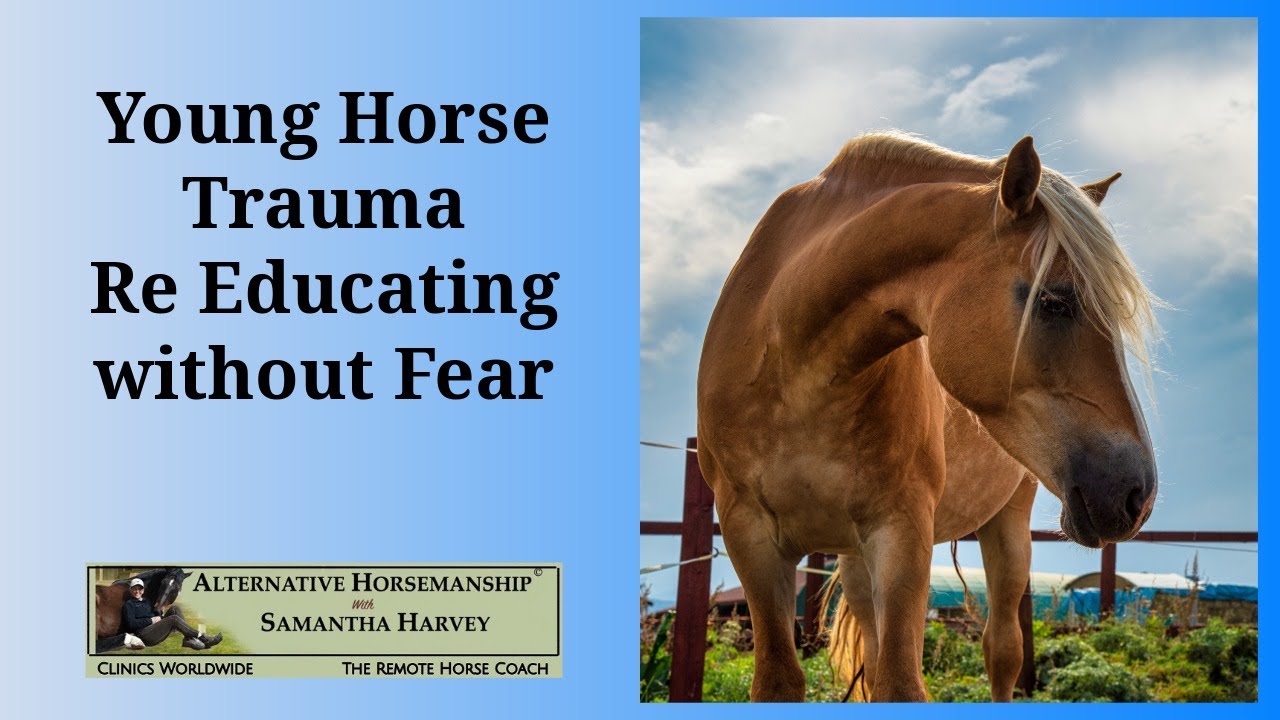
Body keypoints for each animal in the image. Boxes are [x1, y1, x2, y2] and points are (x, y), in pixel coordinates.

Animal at [696, 132, 1159, 702]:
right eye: (1054, 301)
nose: (1137, 494)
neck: (793, 367)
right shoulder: (749, 535)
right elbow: (783, 680)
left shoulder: (901, 531)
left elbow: (901, 683)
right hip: (853, 559)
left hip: (1007, 526)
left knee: (1002, 651)